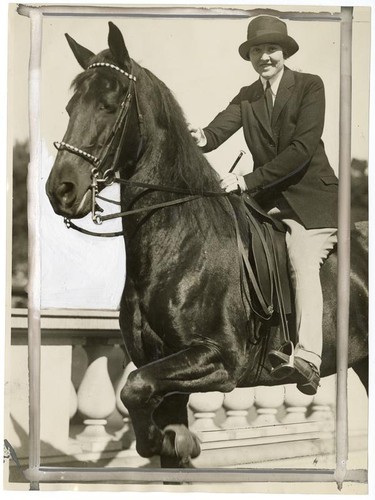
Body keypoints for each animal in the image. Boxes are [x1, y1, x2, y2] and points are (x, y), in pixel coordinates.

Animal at [45, 22, 368, 468]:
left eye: (109, 106)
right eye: (70, 108)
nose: (61, 190)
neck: (177, 247)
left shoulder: (220, 360)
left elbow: (133, 387)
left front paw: (168, 439)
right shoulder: (164, 371)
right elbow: (144, 401)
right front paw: (170, 441)